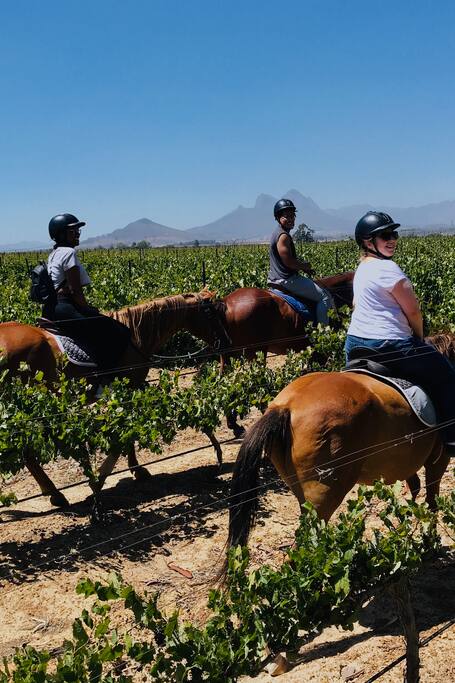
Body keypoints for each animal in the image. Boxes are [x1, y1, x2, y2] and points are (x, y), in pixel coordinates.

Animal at [222, 333, 453, 573]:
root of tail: (286, 407)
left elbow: (416, 493)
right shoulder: (438, 460)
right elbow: (432, 502)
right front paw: (429, 542)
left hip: (303, 495)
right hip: (324, 494)